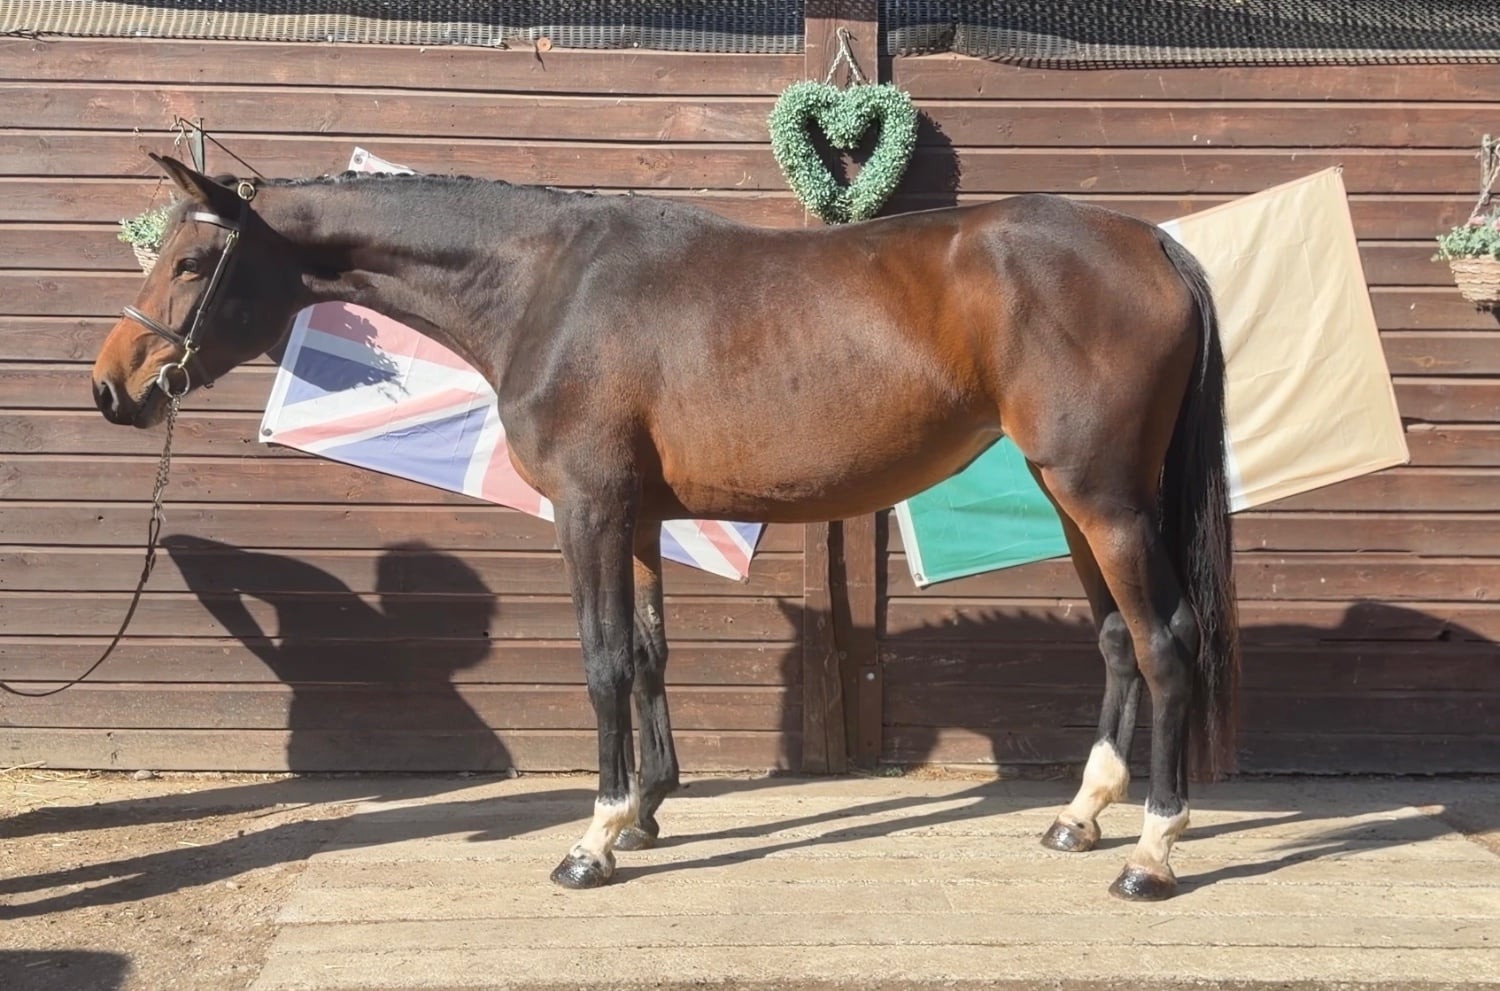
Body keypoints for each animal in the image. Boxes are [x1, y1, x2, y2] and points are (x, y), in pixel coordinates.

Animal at [91, 153, 1239, 901]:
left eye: (189, 264)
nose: (112, 388)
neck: (546, 284)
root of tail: (1152, 242)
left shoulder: (588, 508)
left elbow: (601, 662)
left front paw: (593, 841)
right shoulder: (638, 518)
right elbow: (646, 653)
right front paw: (645, 812)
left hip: (1104, 497)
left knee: (1166, 642)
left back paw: (1152, 851)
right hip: (1075, 497)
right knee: (1117, 642)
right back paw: (1080, 816)